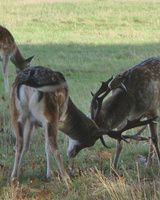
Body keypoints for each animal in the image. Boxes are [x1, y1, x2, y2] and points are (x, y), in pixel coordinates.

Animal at [10, 65, 155, 184]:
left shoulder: (32, 121)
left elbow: (29, 146)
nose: (71, 154)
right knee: (53, 145)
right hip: (49, 113)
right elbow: (48, 146)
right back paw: (67, 179)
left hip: (17, 113)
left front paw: (48, 174)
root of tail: (28, 80)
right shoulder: (52, 120)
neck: (66, 112)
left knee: (19, 143)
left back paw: (14, 178)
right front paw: (50, 175)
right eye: (90, 140)